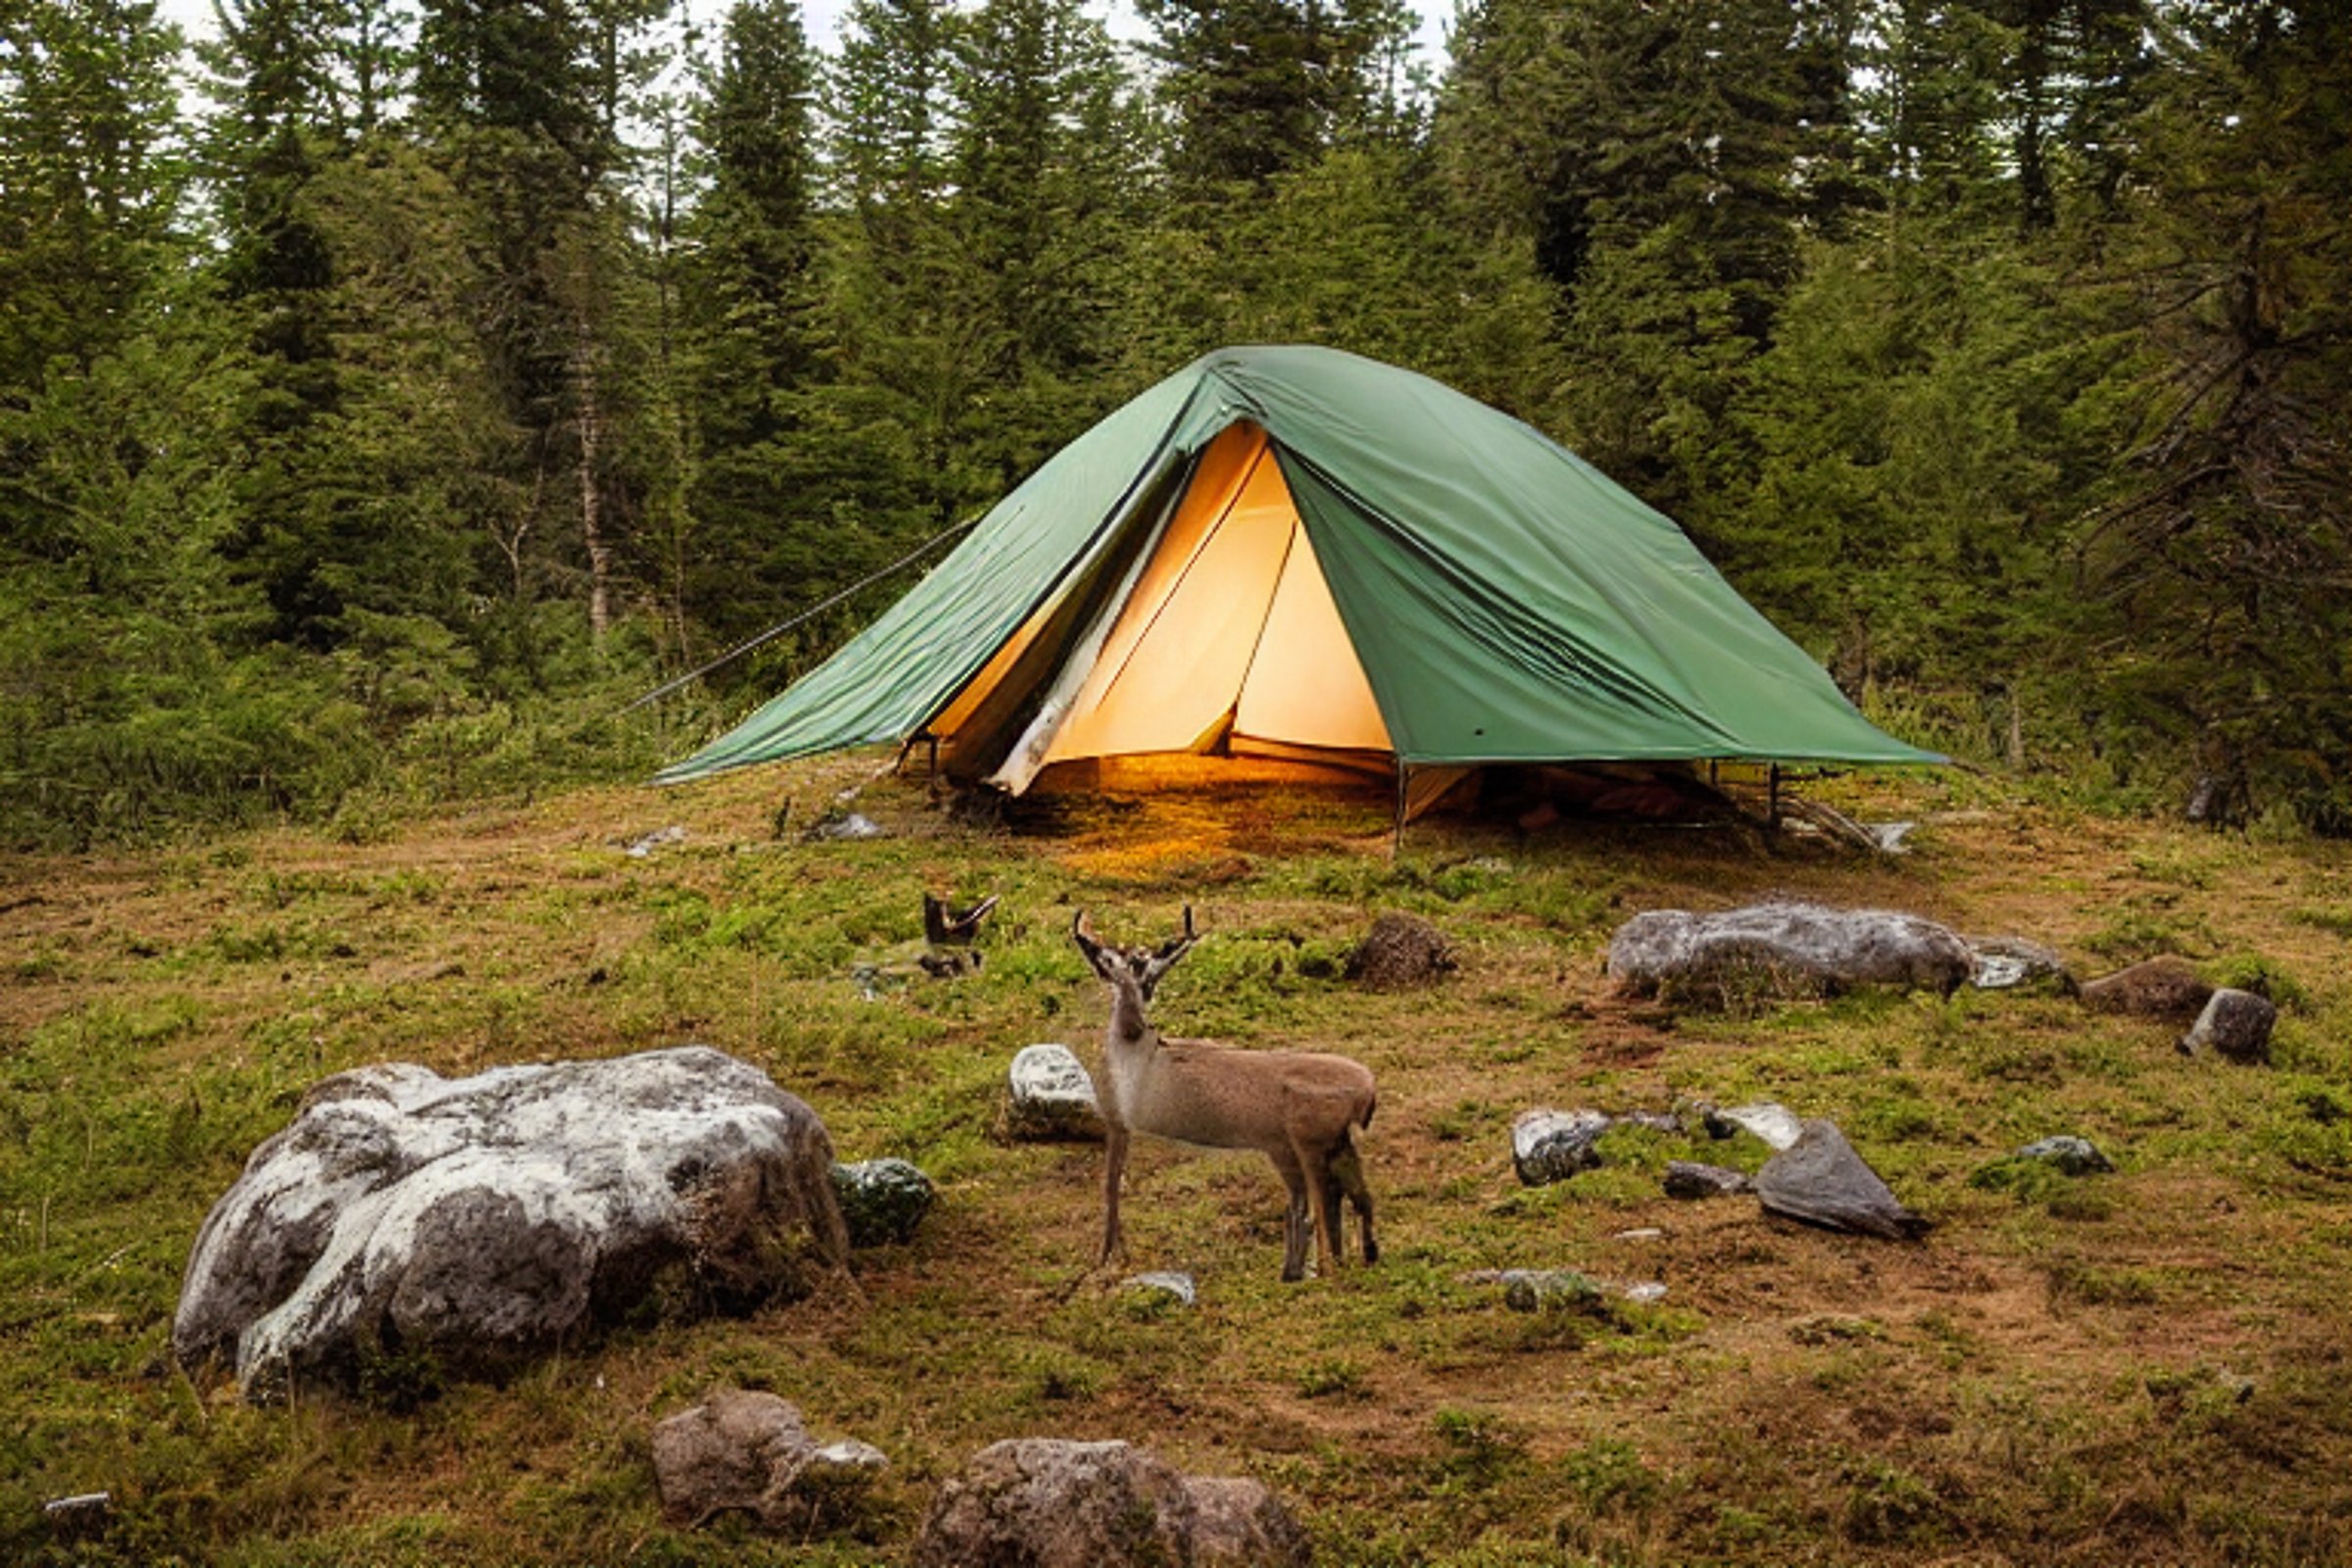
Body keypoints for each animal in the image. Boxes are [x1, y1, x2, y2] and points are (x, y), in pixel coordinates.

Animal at [1072, 907, 1377, 1282]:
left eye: (1140, 967)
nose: (1133, 1021)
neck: (1139, 1051)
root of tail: (1368, 1089)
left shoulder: (1119, 1123)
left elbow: (1110, 1189)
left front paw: (1107, 1262)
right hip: (1328, 1146)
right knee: (1353, 1199)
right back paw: (1350, 1259)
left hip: (1309, 1145)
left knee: (1322, 1207)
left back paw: (1320, 1270)